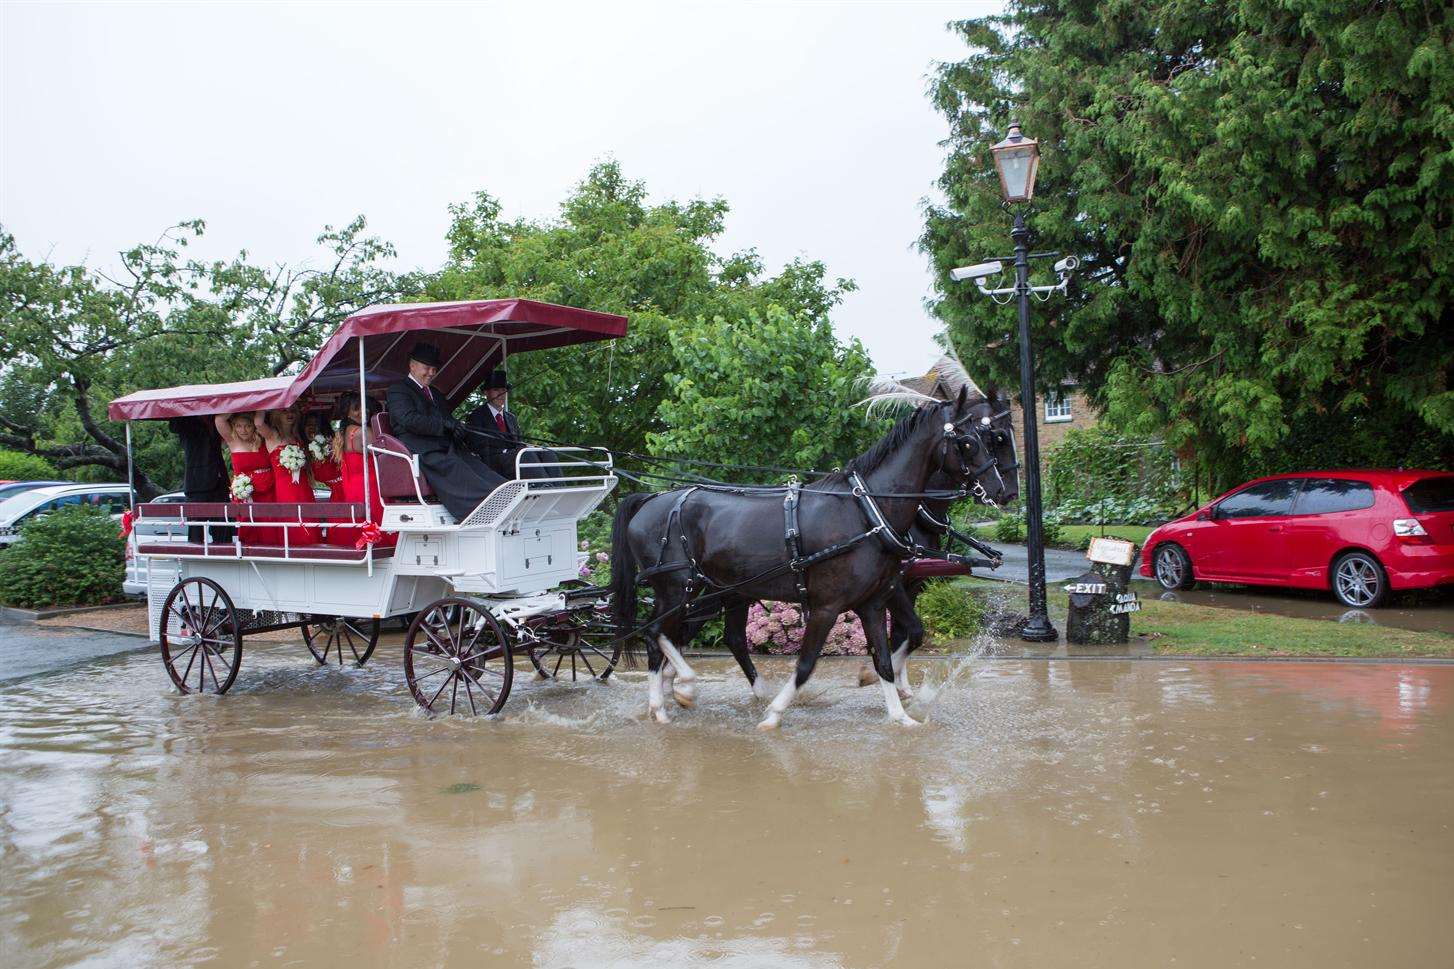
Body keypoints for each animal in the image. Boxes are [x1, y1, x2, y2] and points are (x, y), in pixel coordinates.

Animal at [607, 384, 1017, 724]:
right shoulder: (828, 606)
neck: (867, 511)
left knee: (700, 636)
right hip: (679, 589)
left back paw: (679, 693)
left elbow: (885, 659)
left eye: (990, 437)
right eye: (970, 441)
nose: (1003, 490)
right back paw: (671, 697)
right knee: (656, 633)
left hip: (717, 591)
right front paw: (773, 717)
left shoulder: (873, 602)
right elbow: (806, 664)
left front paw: (900, 715)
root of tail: (653, 499)